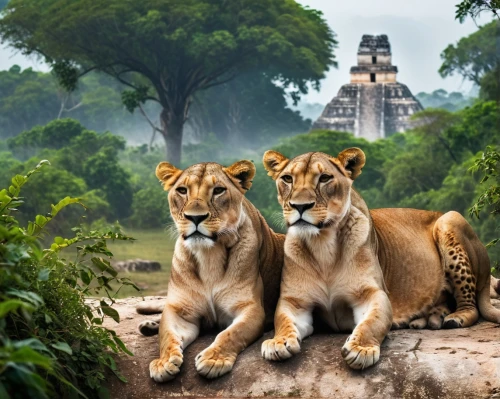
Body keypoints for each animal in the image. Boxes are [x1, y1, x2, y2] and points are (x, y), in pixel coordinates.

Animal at [136, 161, 286, 382]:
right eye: (182, 190)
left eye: (218, 191)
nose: (195, 218)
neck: (209, 255)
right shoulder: (181, 312)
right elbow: (167, 336)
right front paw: (163, 362)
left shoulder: (250, 309)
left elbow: (230, 334)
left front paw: (213, 360)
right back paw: (148, 326)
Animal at [260, 149, 498, 372]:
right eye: (287, 179)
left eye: (325, 178)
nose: (300, 206)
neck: (322, 245)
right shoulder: (295, 302)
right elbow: (283, 321)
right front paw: (277, 342)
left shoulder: (373, 294)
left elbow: (371, 323)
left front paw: (361, 349)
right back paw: (428, 318)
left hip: (450, 219)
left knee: (471, 306)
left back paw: (453, 318)